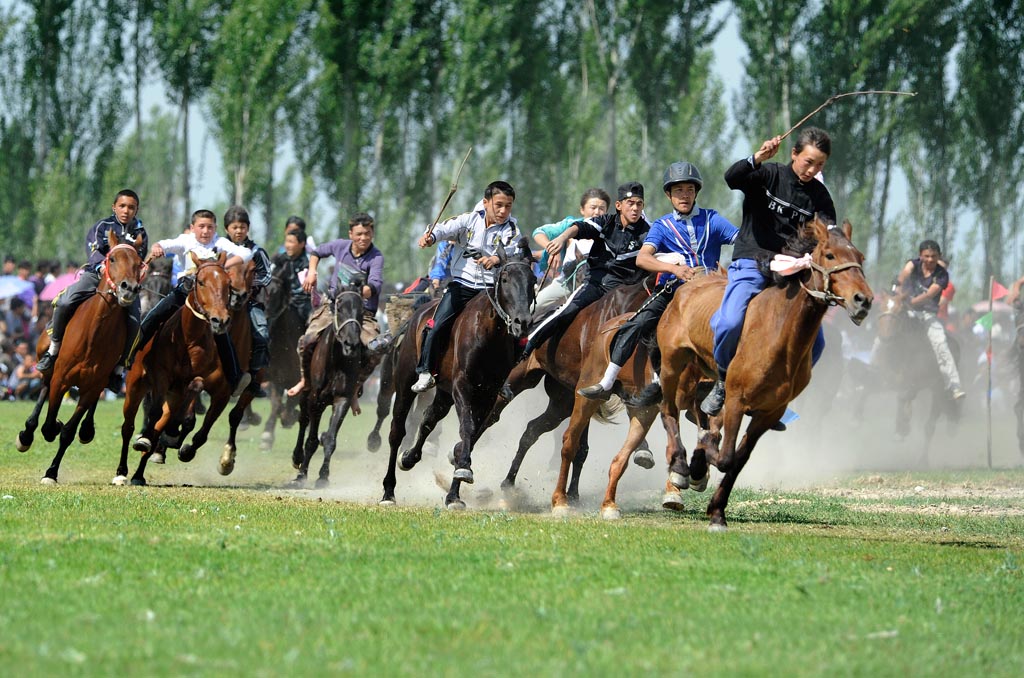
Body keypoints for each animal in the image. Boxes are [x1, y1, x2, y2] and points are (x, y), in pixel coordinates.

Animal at [15, 232, 144, 483]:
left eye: (139, 263)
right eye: (112, 258)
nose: (129, 289)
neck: (94, 334)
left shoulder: (92, 386)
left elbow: (68, 432)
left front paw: (51, 471)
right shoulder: (61, 379)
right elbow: (49, 423)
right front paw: (50, 432)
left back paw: (87, 429)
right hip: (48, 365)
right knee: (43, 386)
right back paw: (27, 434)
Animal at [113, 251, 233, 485]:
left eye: (228, 284)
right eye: (201, 281)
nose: (220, 320)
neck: (188, 338)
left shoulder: (190, 382)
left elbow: (196, 386)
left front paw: (171, 433)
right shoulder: (161, 376)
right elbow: (153, 412)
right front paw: (147, 438)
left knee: (160, 425)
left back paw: (139, 473)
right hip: (135, 386)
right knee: (128, 427)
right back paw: (123, 470)